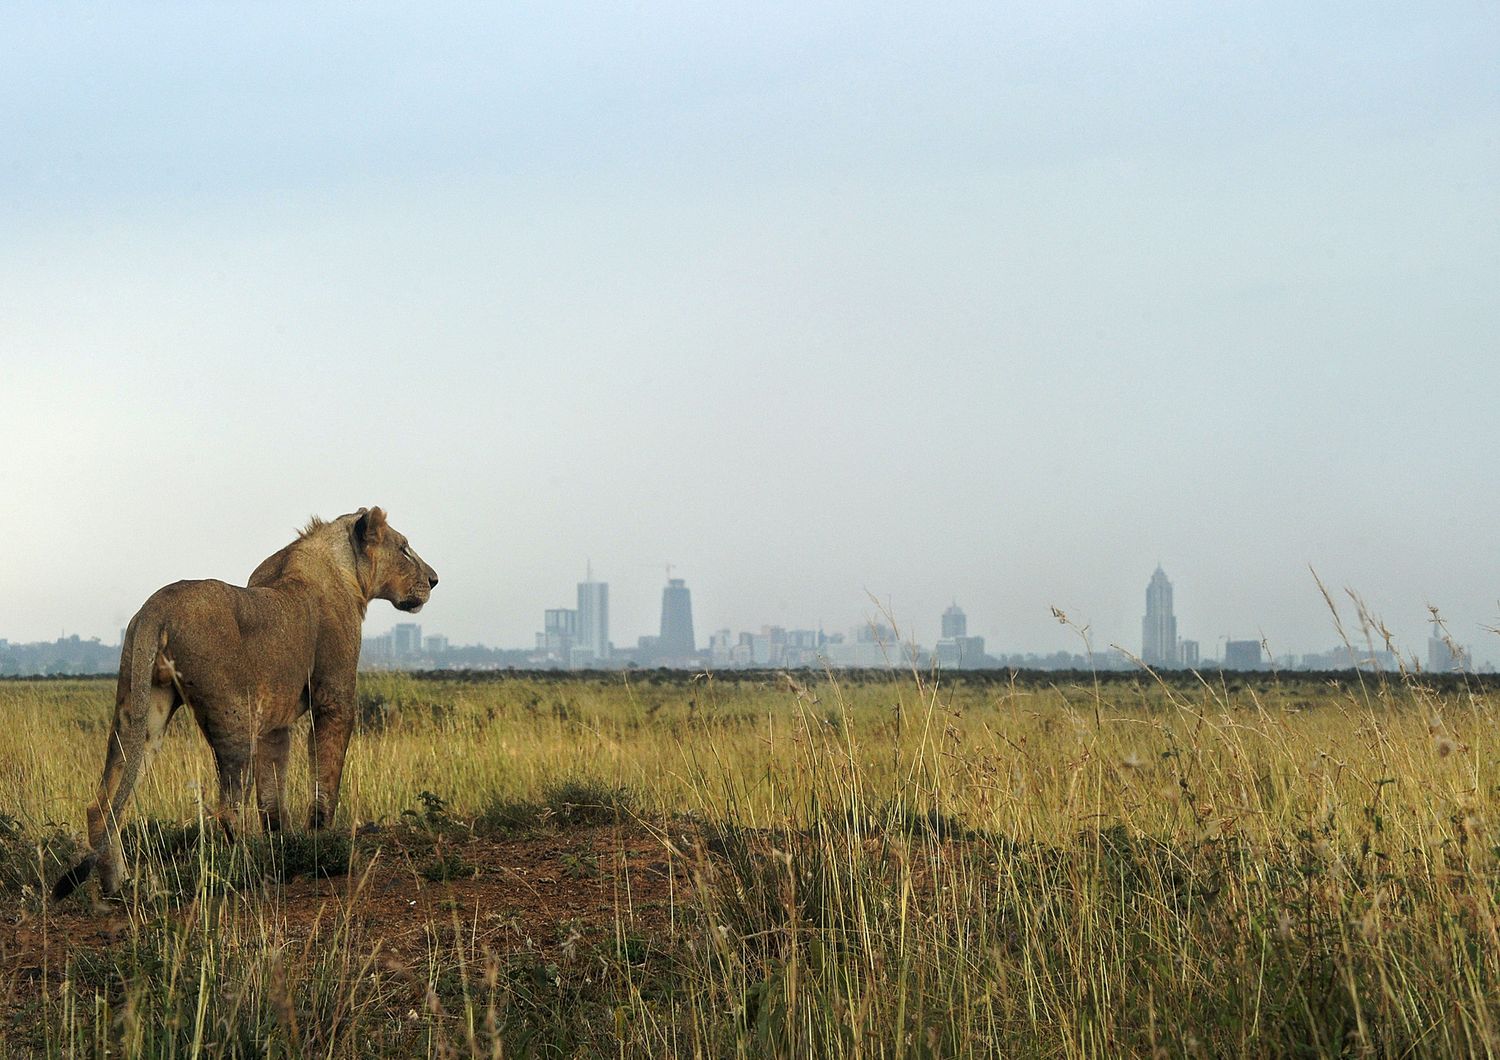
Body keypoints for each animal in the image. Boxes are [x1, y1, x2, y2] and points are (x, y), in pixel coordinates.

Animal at [52, 509, 438, 899]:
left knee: (105, 804)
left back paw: (119, 887)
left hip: (143, 712)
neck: (343, 567)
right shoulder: (334, 698)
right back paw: (253, 874)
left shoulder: (275, 724)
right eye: (404, 549)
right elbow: (325, 779)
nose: (434, 580)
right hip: (235, 718)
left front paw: (285, 846)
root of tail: (156, 606)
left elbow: (272, 797)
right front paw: (321, 844)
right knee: (227, 808)